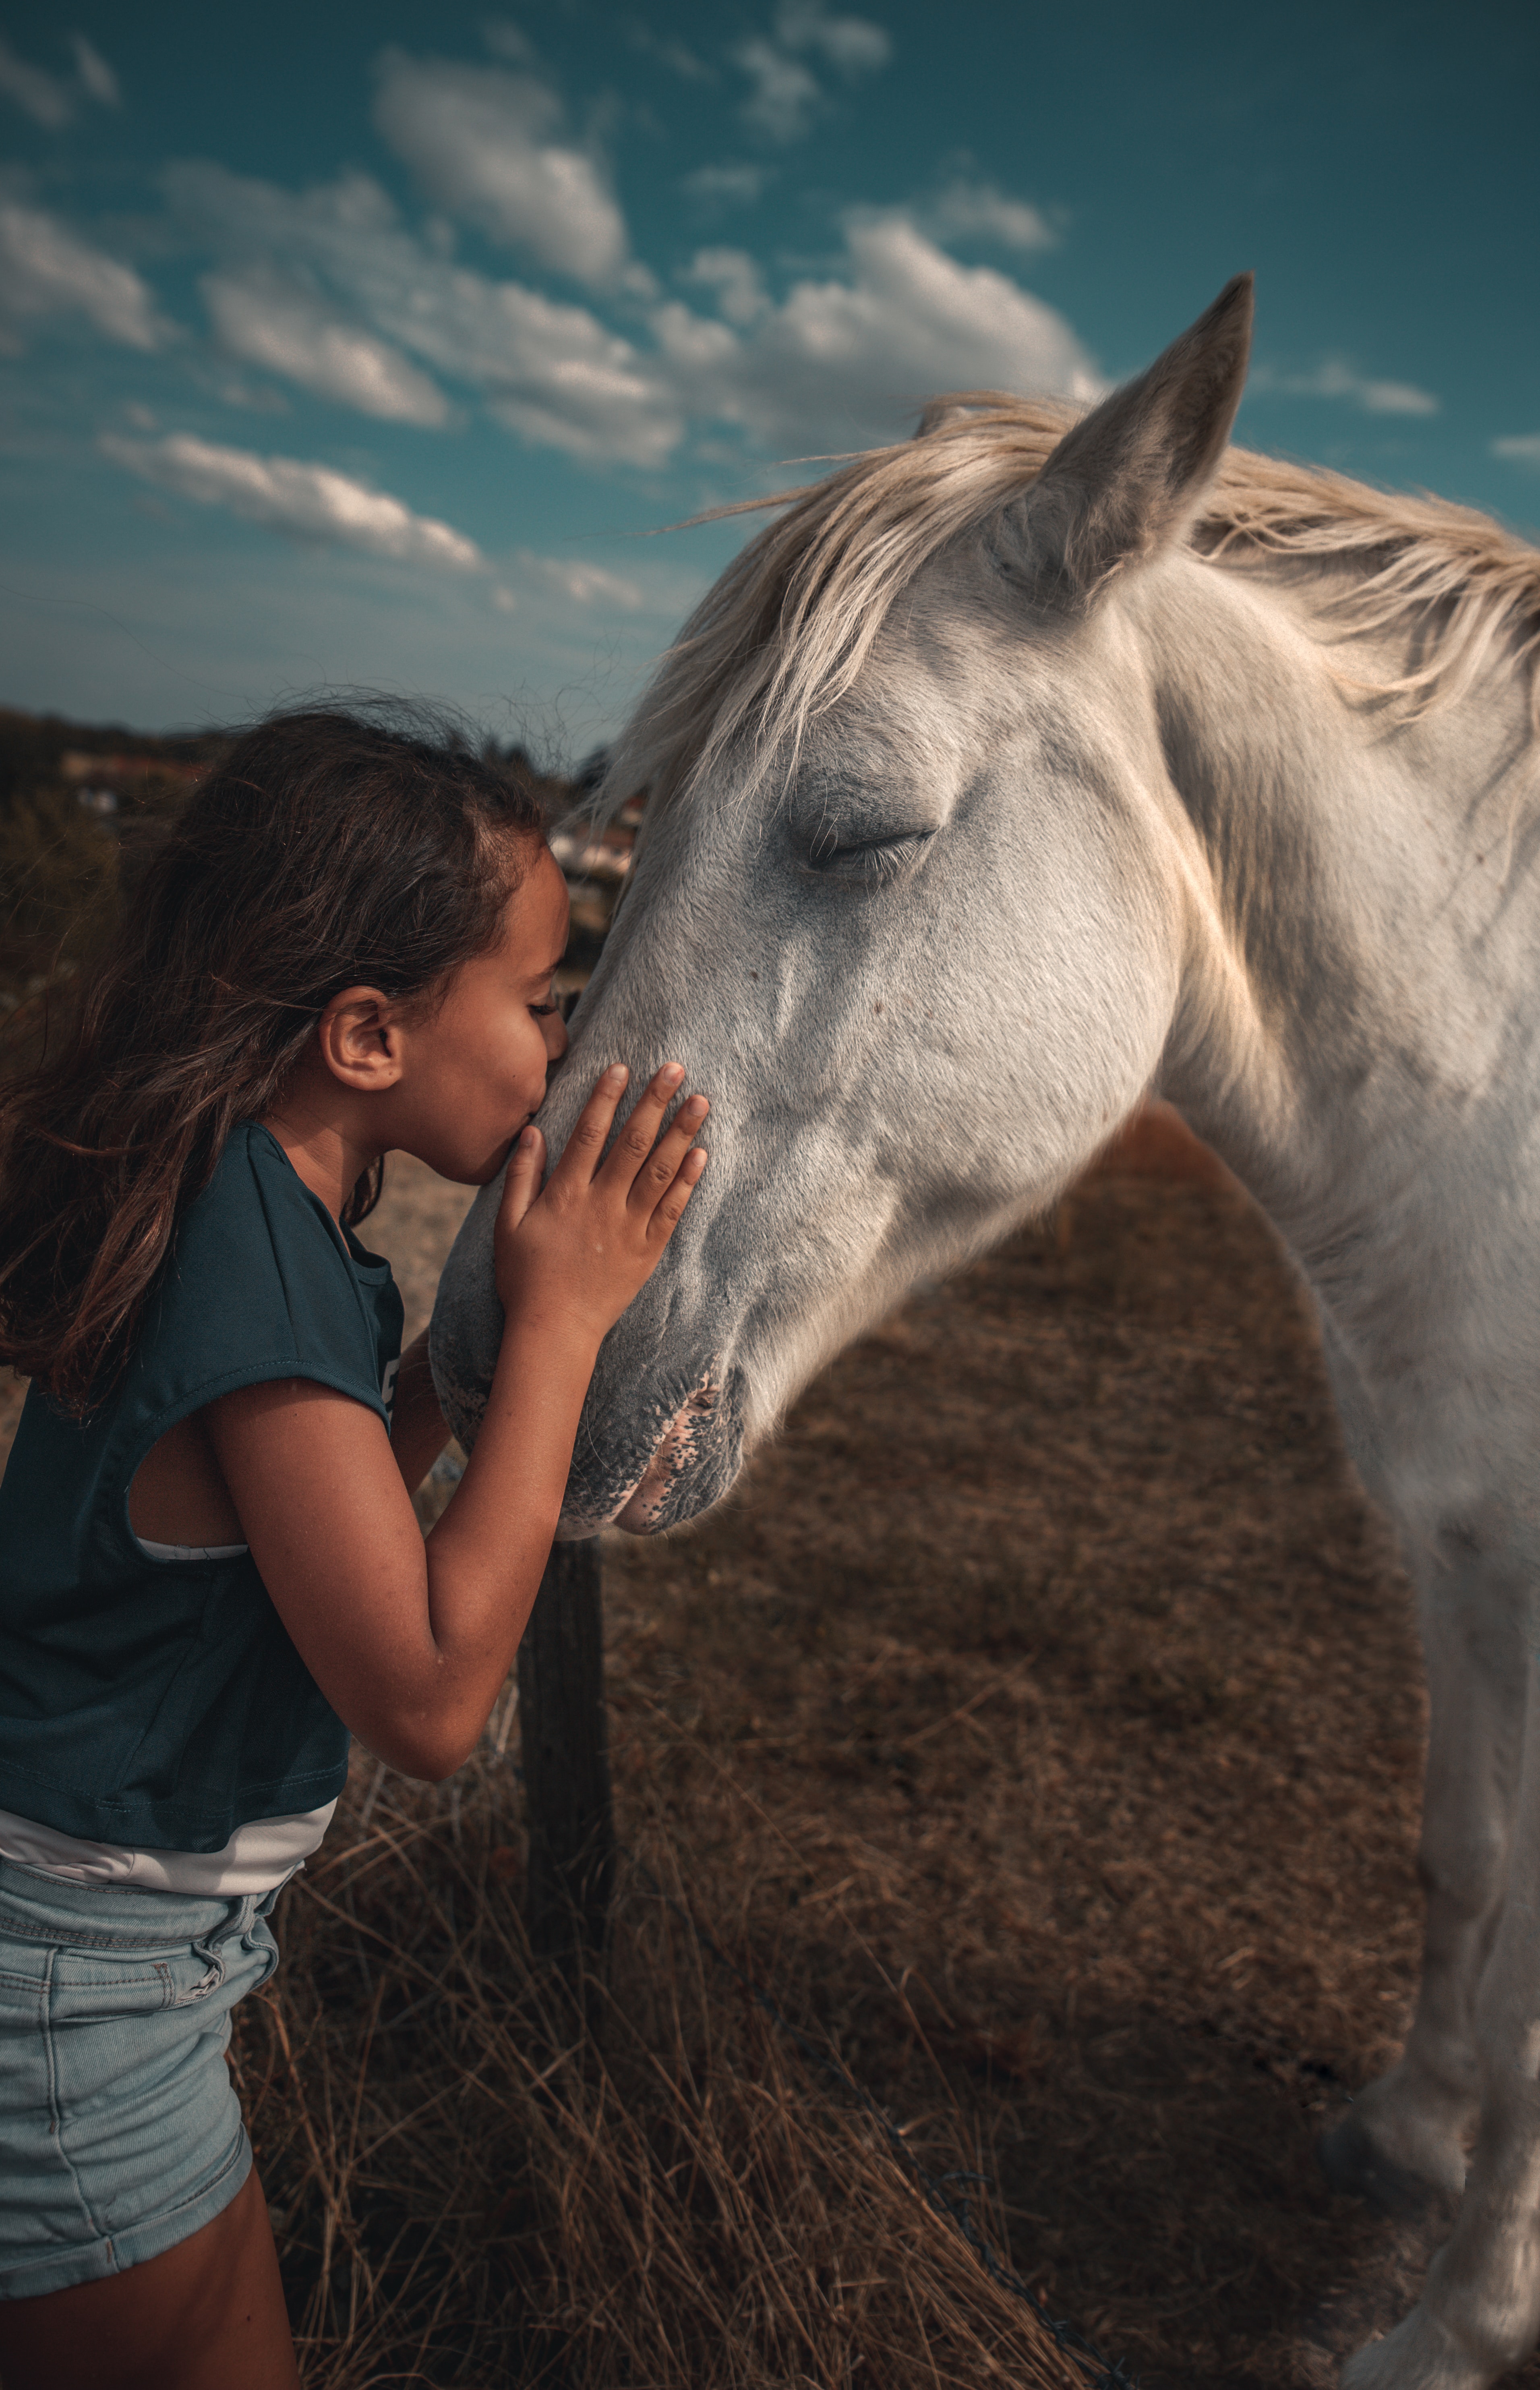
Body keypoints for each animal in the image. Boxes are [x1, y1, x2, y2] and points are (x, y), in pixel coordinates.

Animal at [430, 284, 1540, 2390]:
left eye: (860, 830)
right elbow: (1462, 1860)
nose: (480, 1354)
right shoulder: (1455, 1550)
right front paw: (1403, 2136)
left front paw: (1452, 2329)